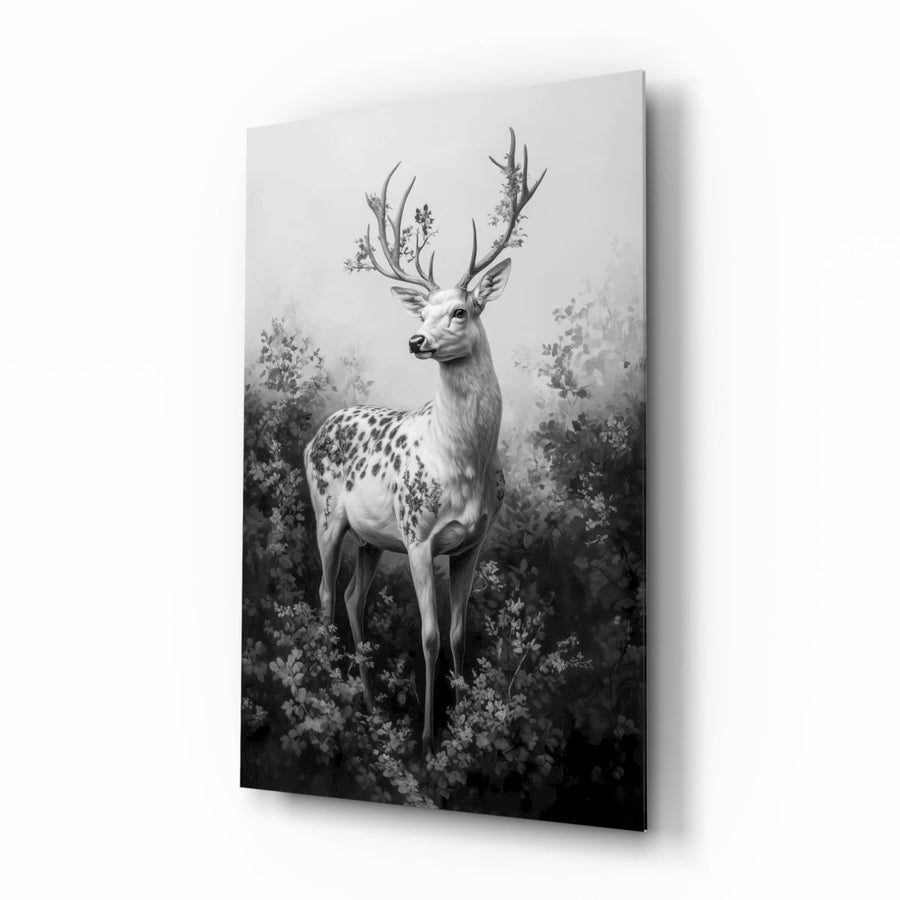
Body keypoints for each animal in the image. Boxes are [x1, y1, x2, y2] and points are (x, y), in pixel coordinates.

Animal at [303, 129, 546, 754]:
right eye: (425, 311)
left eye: (460, 310)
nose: (415, 340)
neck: (462, 462)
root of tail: (318, 431)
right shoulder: (417, 536)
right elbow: (430, 635)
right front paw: (428, 741)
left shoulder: (472, 542)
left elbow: (460, 633)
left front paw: (464, 726)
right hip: (326, 513)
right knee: (324, 597)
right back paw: (332, 696)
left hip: (371, 539)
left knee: (352, 599)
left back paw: (369, 705)